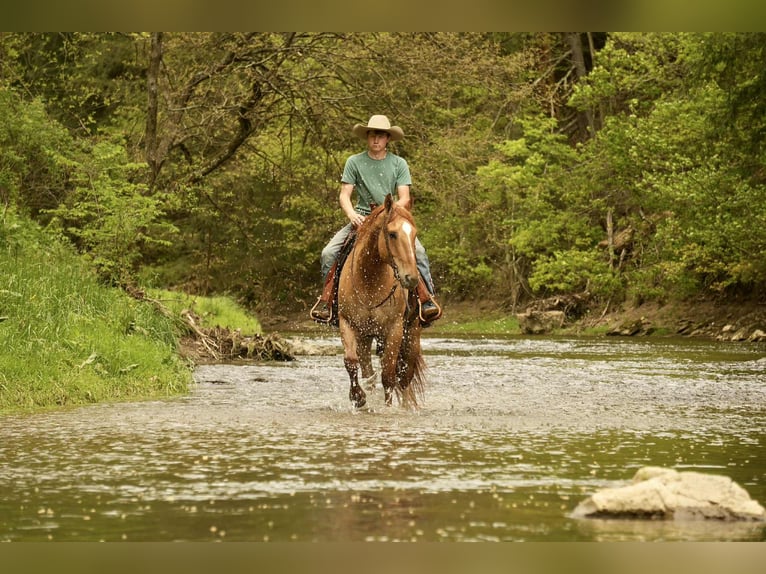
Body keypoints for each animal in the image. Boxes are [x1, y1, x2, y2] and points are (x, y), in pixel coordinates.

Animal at [337, 194, 426, 409]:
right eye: (392, 234)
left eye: (414, 234)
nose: (411, 278)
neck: (369, 280)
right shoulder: (348, 323)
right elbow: (351, 362)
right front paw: (358, 397)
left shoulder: (394, 329)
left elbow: (388, 376)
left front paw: (387, 409)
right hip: (366, 337)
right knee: (369, 373)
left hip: (412, 335)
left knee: (405, 377)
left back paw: (405, 408)